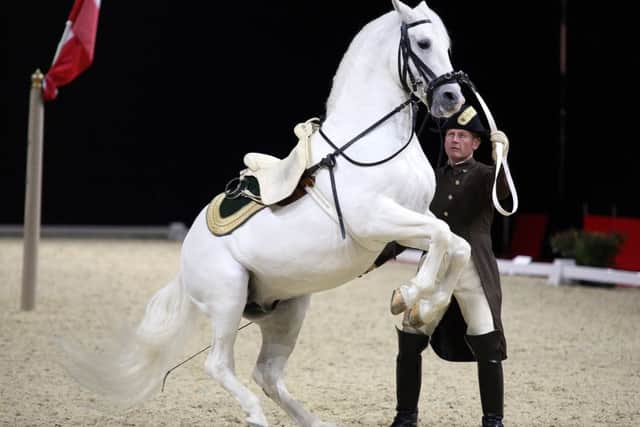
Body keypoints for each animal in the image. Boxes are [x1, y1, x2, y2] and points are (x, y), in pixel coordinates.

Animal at [62, 1, 476, 426]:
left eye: (445, 44)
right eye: (423, 43)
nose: (451, 98)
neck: (369, 144)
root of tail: (186, 256)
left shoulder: (410, 223)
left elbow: (457, 245)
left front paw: (426, 309)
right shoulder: (376, 221)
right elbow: (443, 237)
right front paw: (407, 295)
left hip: (287, 311)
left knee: (268, 374)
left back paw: (312, 421)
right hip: (228, 299)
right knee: (219, 365)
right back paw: (255, 415)